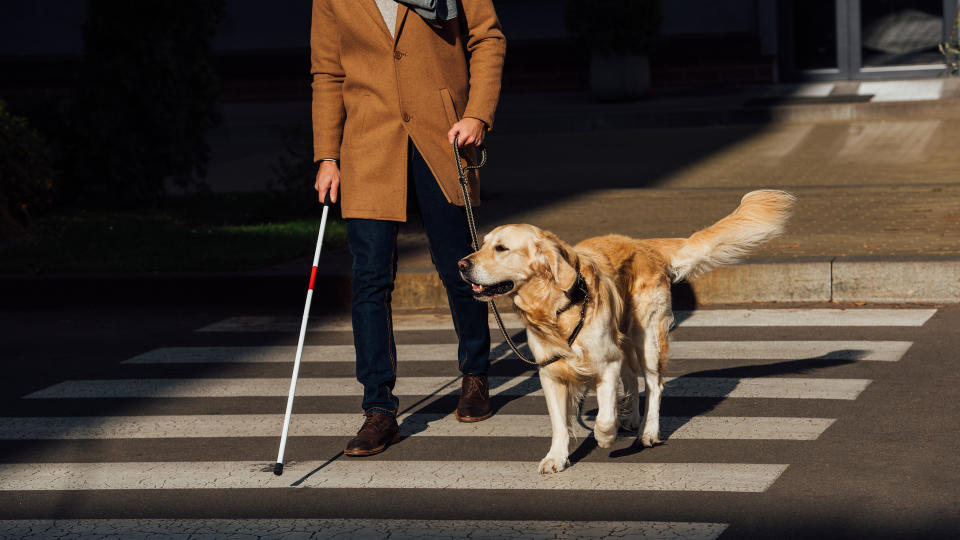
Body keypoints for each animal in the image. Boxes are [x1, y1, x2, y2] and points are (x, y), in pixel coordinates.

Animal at [458, 189, 796, 472]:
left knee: (654, 385)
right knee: (633, 380)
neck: (556, 307)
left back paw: (647, 432)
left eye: (501, 248)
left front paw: (604, 436)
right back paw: (632, 418)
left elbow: (605, 415)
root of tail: (643, 244)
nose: (461, 264)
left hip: (646, 338)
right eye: (482, 244)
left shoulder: (605, 362)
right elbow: (559, 422)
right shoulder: (551, 372)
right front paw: (556, 457)